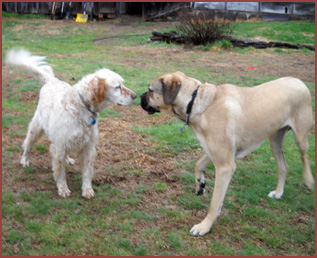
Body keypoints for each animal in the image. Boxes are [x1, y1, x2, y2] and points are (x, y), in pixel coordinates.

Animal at [5, 47, 136, 198]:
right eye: (117, 87)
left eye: (123, 84)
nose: (135, 96)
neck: (81, 106)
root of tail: (51, 80)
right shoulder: (59, 146)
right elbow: (60, 172)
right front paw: (63, 189)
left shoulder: (88, 147)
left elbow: (87, 172)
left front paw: (87, 189)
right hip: (35, 129)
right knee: (27, 145)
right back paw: (25, 160)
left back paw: (68, 159)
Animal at [141, 71, 314, 237]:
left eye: (150, 90)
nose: (140, 97)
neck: (197, 103)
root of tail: (298, 81)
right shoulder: (214, 152)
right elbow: (198, 165)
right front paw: (200, 184)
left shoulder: (225, 166)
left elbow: (214, 202)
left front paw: (204, 227)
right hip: (275, 139)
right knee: (283, 166)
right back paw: (278, 192)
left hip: (300, 136)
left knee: (304, 156)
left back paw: (308, 180)